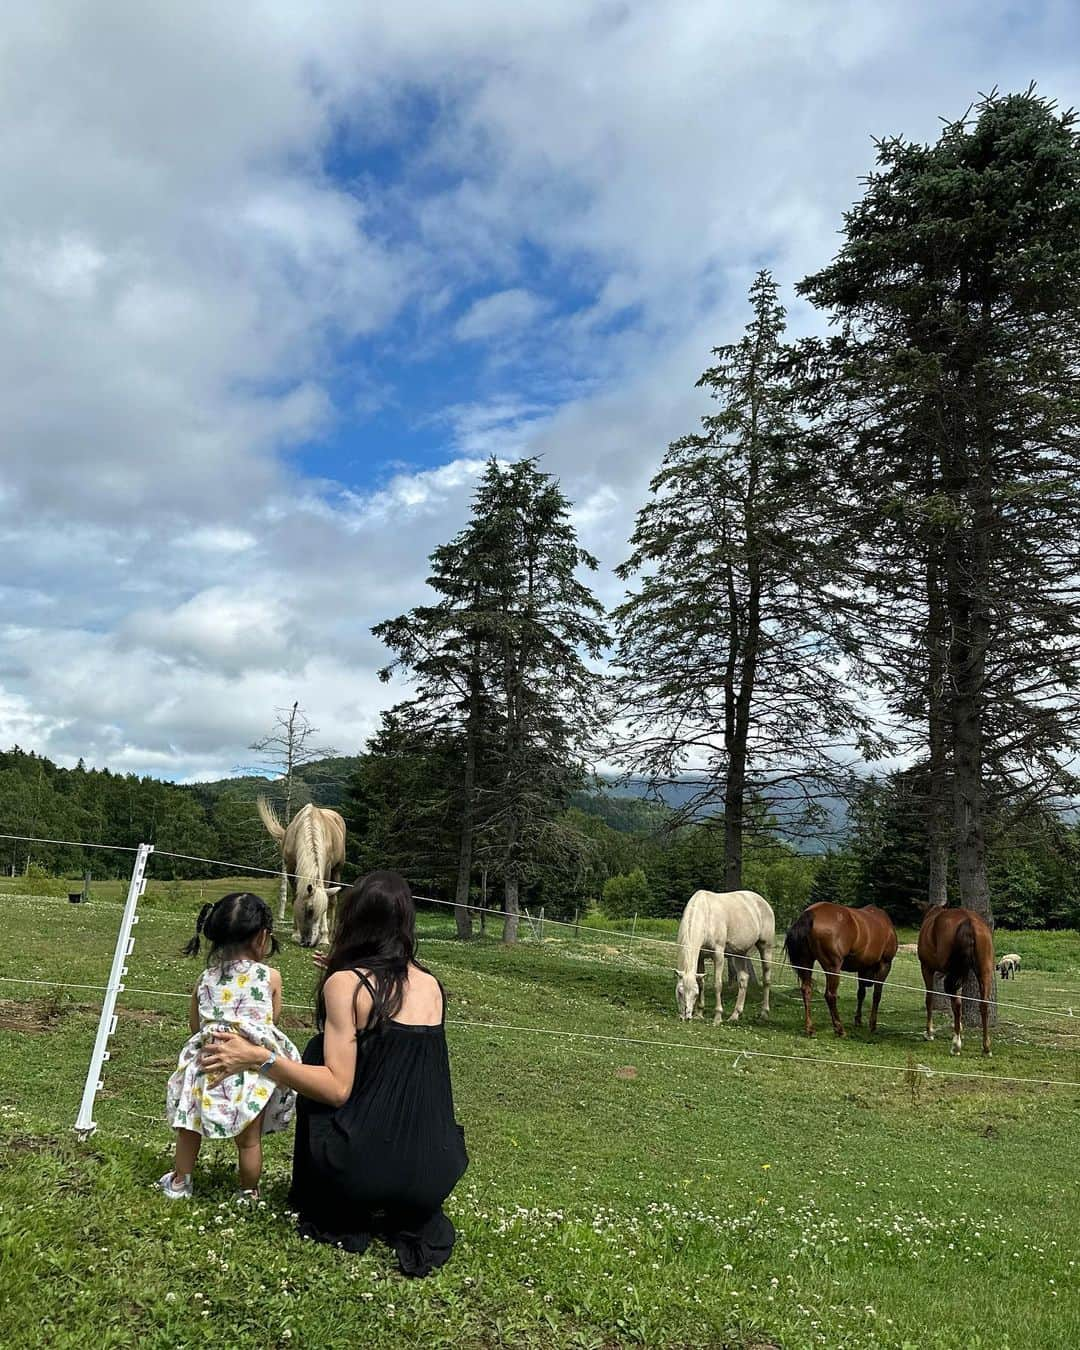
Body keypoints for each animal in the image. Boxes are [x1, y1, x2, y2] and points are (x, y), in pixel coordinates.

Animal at [257, 793, 345, 945]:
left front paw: (324, 938)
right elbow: (294, 898)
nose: (309, 942)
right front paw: (295, 933)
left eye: (321, 911)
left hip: (337, 870)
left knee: (333, 901)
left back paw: (331, 935)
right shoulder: (291, 868)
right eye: (309, 910)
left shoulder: (327, 869)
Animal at [675, 885, 777, 1020]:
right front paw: (699, 1013)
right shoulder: (701, 956)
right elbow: (701, 982)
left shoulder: (718, 955)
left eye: (695, 994)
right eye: (680, 992)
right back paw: (735, 1015)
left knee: (766, 980)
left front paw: (717, 1017)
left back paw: (764, 1012)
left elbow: (717, 984)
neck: (706, 915)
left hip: (766, 948)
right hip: (739, 954)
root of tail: (764, 903)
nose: (686, 1017)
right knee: (743, 979)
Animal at [783, 901, 896, 1036]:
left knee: (807, 990)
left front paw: (858, 1020)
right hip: (833, 967)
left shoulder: (862, 968)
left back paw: (810, 1028)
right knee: (830, 995)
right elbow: (877, 995)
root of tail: (810, 913)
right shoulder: (885, 964)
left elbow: (861, 993)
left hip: (806, 962)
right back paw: (839, 1028)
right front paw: (872, 1025)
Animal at [918, 907, 993, 1053]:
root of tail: (969, 921)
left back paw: (956, 1044)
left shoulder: (927, 968)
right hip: (984, 972)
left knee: (957, 1004)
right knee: (983, 1004)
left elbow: (930, 998)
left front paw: (929, 1032)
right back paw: (986, 1047)